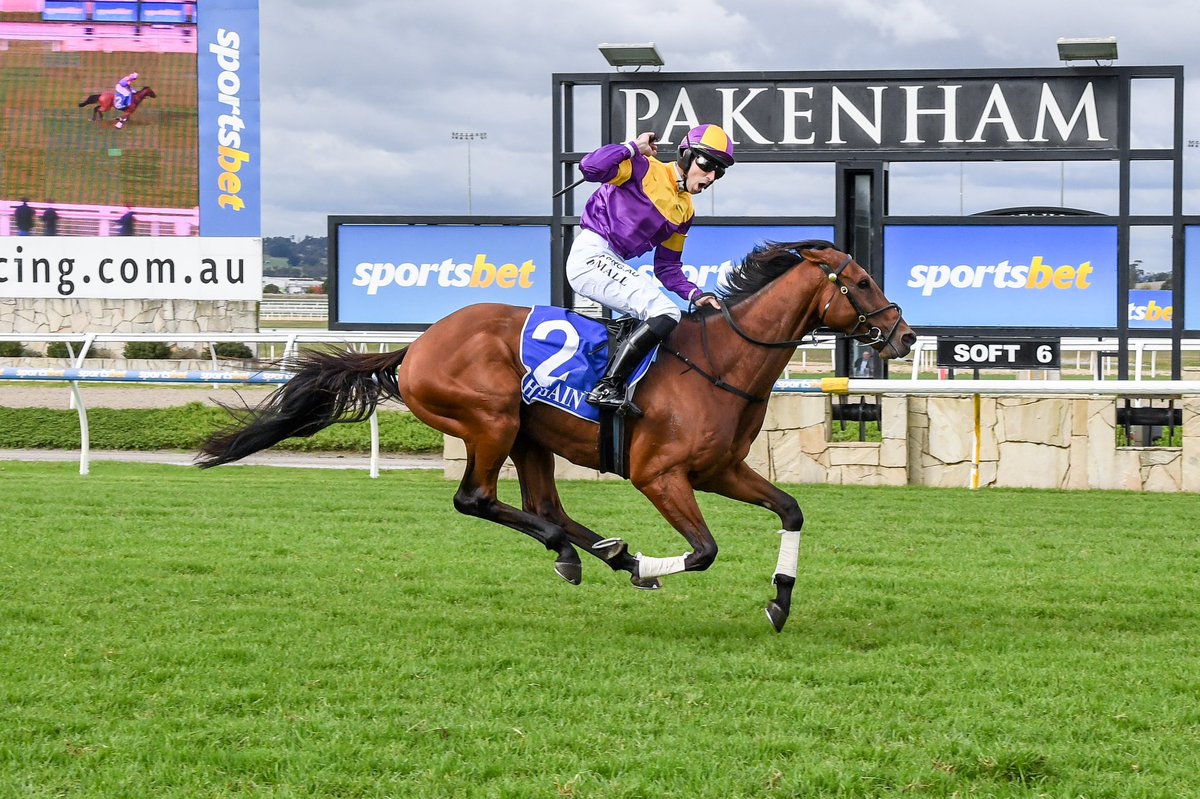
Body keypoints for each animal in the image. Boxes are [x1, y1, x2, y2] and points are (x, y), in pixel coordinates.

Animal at [196, 241, 912, 628]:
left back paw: (600, 552)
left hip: (529, 435)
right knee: (477, 500)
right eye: (861, 281)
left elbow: (791, 510)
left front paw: (780, 600)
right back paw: (601, 556)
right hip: (491, 421)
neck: (719, 363)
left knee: (547, 506)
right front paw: (650, 565)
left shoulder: (720, 470)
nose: (903, 335)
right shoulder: (659, 475)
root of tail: (416, 346)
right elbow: (705, 550)